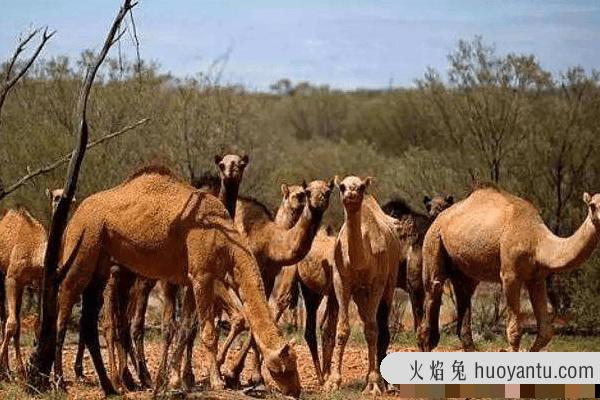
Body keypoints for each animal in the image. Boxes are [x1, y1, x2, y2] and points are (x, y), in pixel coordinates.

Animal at [54, 166, 302, 396]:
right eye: (287, 366)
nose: (296, 390)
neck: (228, 244)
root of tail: (77, 212)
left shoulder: (191, 279)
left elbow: (184, 328)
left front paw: (172, 382)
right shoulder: (202, 275)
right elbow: (208, 333)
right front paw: (217, 381)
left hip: (103, 262)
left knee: (90, 317)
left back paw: (112, 385)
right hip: (83, 244)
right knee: (65, 298)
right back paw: (60, 380)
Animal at [324, 177, 398, 396]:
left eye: (362, 187)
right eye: (341, 187)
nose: (351, 194)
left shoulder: (377, 283)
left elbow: (373, 330)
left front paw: (373, 384)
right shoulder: (341, 281)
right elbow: (342, 329)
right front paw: (333, 382)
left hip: (388, 285)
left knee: (380, 327)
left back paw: (385, 383)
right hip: (359, 294)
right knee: (367, 322)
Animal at [418, 185, 600, 354]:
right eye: (592, 205)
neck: (537, 241)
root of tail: (438, 219)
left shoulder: (537, 278)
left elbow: (546, 331)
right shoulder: (510, 275)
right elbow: (514, 330)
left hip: (464, 268)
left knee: (464, 291)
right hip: (433, 241)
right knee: (434, 286)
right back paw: (425, 343)